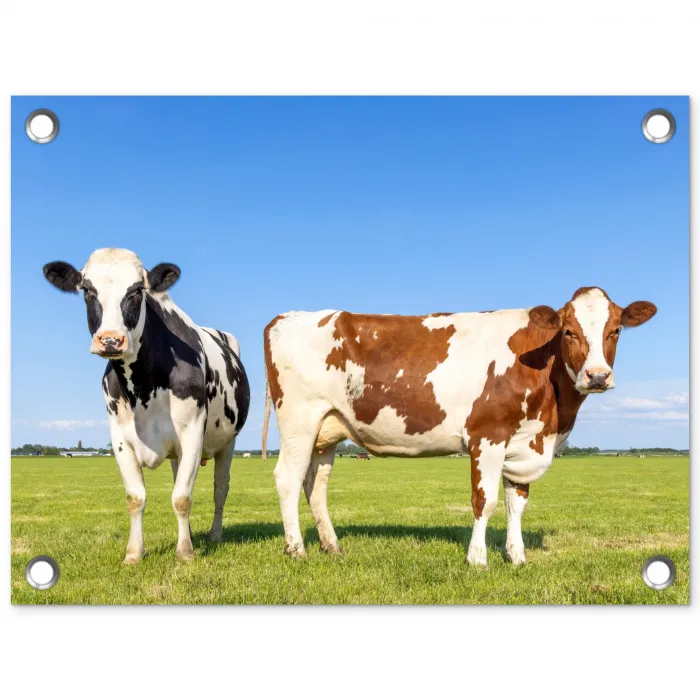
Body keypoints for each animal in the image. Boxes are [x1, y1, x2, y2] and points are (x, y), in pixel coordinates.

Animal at [43, 248, 250, 563]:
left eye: (137, 290)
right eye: (87, 290)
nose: (111, 340)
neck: (142, 386)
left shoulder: (192, 433)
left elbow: (182, 497)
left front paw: (185, 553)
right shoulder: (120, 439)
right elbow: (136, 497)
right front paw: (134, 553)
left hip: (227, 443)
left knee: (220, 488)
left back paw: (214, 534)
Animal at [261, 287, 655, 566]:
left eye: (616, 330)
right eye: (569, 331)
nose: (598, 376)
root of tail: (286, 316)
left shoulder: (525, 441)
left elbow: (517, 503)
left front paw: (516, 557)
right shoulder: (487, 436)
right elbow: (486, 501)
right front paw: (478, 559)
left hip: (326, 430)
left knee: (315, 485)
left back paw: (332, 546)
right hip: (299, 420)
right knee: (287, 479)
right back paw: (296, 549)